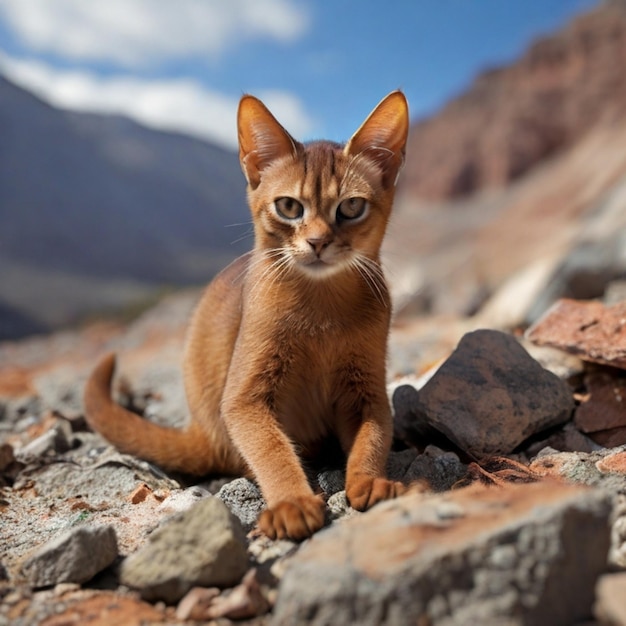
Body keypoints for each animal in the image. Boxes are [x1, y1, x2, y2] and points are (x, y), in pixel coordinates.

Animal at [85, 90, 412, 540]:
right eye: (289, 206)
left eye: (351, 207)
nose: (317, 242)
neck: (321, 311)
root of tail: (200, 431)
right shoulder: (244, 398)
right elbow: (270, 448)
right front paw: (292, 502)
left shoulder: (367, 391)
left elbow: (373, 437)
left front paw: (369, 481)